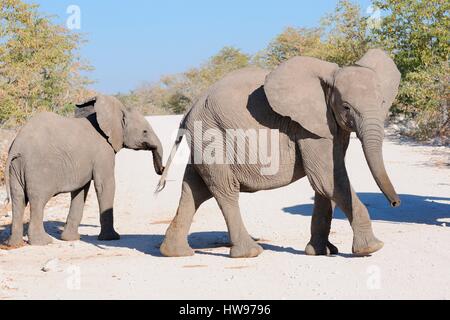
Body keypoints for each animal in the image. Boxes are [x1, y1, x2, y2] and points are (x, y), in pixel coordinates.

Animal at [4, 94, 164, 246]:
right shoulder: (103, 152)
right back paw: (43, 242)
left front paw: (70, 239)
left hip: (16, 168)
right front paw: (111, 238)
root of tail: (17, 145)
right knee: (37, 200)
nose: (161, 170)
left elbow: (80, 190)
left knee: (18, 200)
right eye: (145, 132)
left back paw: (14, 243)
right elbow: (105, 185)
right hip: (38, 168)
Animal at [157, 50, 400, 260]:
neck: (329, 79)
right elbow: (327, 178)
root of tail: (190, 109)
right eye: (347, 107)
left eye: (382, 103)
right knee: (225, 189)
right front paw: (371, 248)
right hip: (212, 134)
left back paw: (175, 252)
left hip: (205, 139)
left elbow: (326, 182)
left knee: (194, 189)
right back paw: (250, 253)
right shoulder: (307, 126)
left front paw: (321, 252)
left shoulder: (331, 126)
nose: (395, 204)